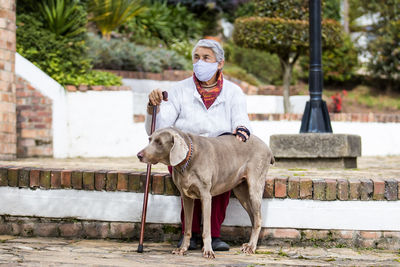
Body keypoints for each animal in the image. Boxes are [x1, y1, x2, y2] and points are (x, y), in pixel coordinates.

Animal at [138, 127, 276, 260]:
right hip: (240, 191)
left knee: (258, 218)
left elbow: (206, 229)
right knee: (253, 216)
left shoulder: (206, 196)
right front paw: (182, 249)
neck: (187, 162)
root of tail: (267, 147)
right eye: (149, 139)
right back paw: (248, 244)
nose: (139, 155)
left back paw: (251, 247)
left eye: (159, 142)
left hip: (255, 186)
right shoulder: (186, 197)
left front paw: (208, 251)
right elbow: (187, 227)